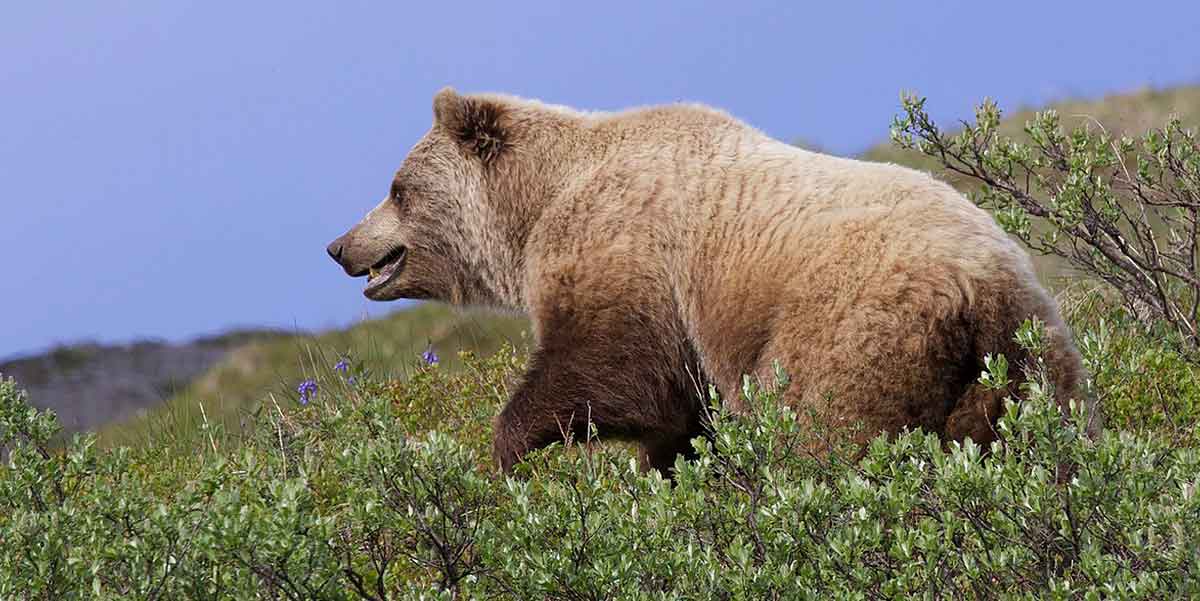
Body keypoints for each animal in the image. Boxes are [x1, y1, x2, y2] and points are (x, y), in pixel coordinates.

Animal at [326, 87, 1101, 474]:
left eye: (396, 188)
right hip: (1030, 368)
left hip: (855, 330)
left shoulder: (627, 251)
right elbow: (681, 419)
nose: (340, 245)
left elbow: (613, 368)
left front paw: (507, 450)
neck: (535, 207)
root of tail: (981, 289)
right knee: (1051, 449)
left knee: (821, 437)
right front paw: (674, 475)